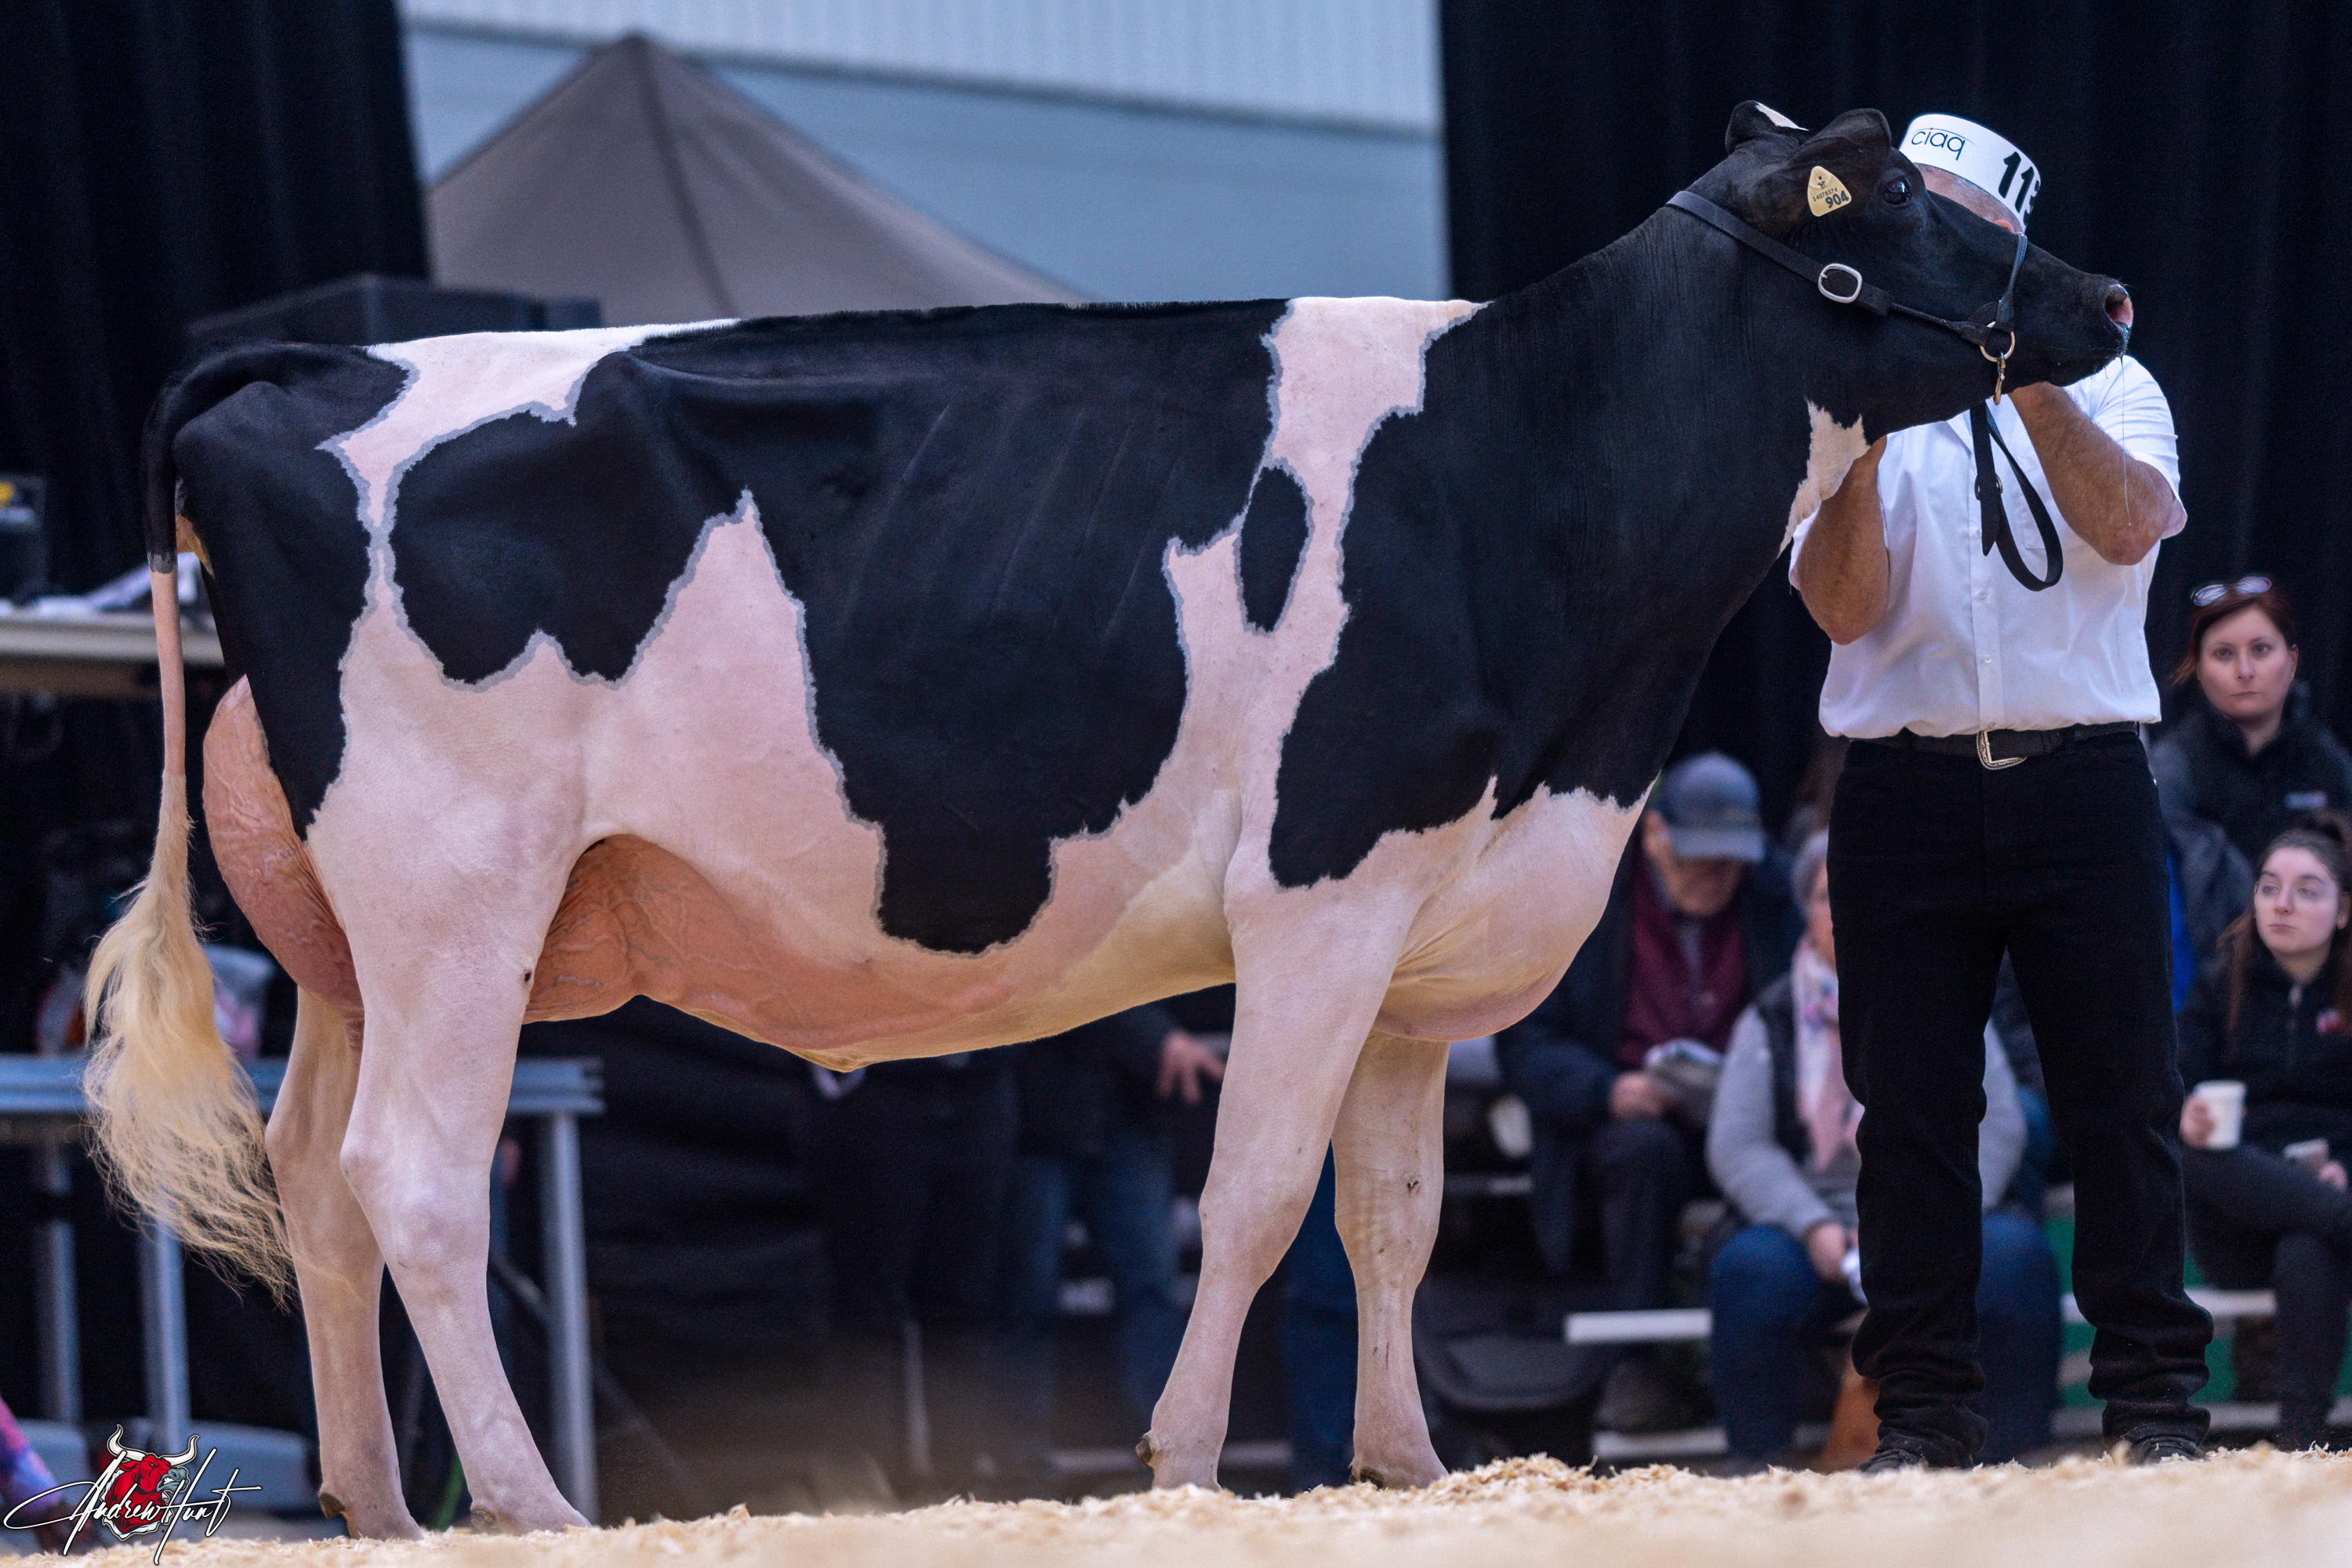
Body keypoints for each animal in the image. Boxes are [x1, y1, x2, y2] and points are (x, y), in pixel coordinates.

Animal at [84, 104, 2133, 1535]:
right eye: (1917, 196)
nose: (2108, 294)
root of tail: (310, 364)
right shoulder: (1321, 880)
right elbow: (1256, 1193)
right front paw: (1186, 1455)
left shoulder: (1427, 920)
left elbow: (1390, 1213)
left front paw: (1407, 1462)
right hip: (458, 890)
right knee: (413, 1177)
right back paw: (524, 1498)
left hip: (351, 937)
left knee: (313, 1174)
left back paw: (373, 1498)